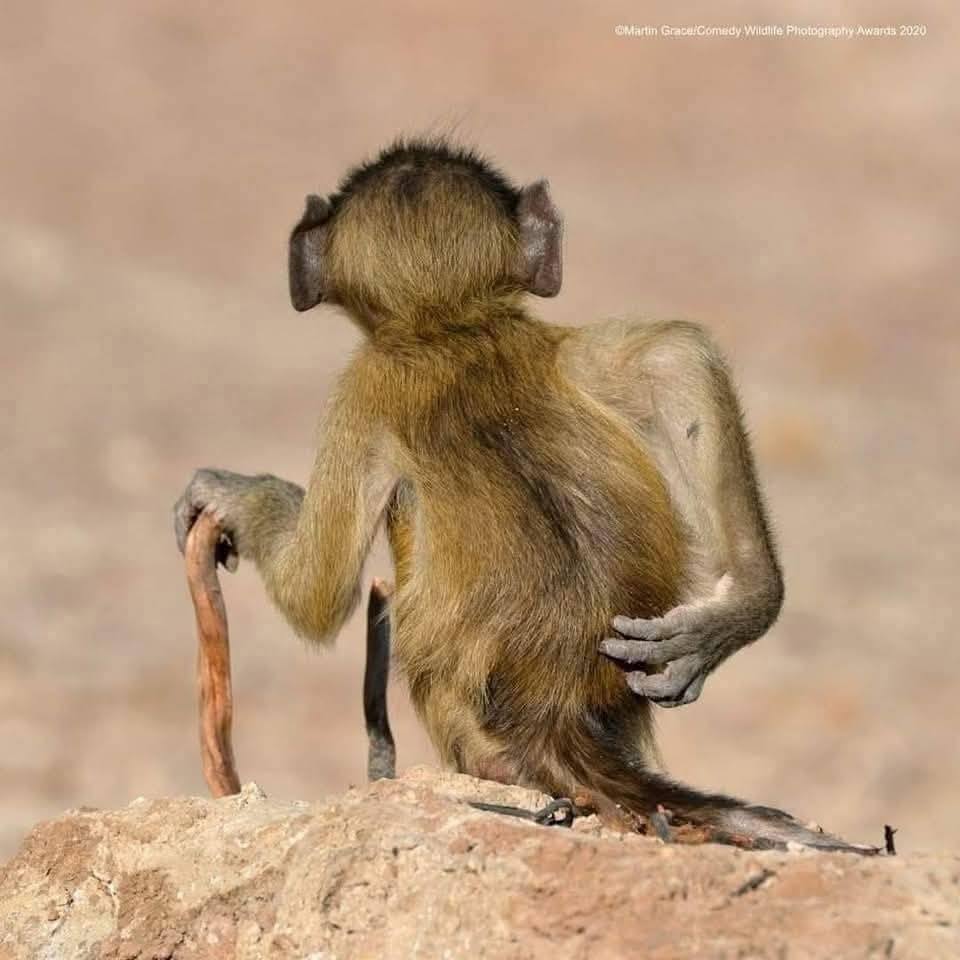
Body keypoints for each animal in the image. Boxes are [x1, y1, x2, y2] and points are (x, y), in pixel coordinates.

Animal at [174, 136, 874, 852]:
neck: (445, 327)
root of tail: (556, 708)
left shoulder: (360, 392)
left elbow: (315, 598)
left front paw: (234, 497)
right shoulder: (561, 349)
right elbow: (676, 352)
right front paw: (735, 615)